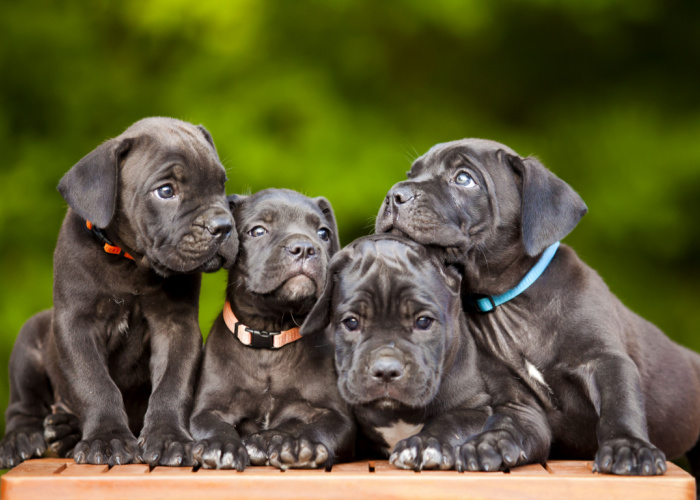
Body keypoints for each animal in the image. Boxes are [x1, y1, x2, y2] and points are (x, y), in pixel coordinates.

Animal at [0, 117, 238, 468]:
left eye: (221, 184)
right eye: (166, 191)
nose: (223, 226)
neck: (130, 263)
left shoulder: (175, 326)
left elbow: (172, 384)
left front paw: (168, 438)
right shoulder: (77, 325)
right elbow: (95, 384)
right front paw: (107, 438)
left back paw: (66, 431)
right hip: (29, 339)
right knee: (22, 405)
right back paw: (23, 438)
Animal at [190, 189, 356, 470]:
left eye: (323, 233)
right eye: (258, 231)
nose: (305, 248)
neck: (269, 335)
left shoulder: (336, 416)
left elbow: (311, 426)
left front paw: (297, 444)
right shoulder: (207, 410)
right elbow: (215, 426)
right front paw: (222, 446)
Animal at [300, 234, 552, 472]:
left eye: (423, 321)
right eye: (351, 323)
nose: (386, 371)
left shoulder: (476, 407)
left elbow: (451, 421)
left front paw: (425, 444)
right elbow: (328, 425)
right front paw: (303, 443)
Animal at [374, 138, 700, 476]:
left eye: (463, 178)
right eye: (411, 174)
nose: (395, 194)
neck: (513, 305)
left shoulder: (606, 360)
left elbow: (620, 405)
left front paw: (629, 447)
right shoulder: (515, 398)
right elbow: (513, 427)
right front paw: (486, 444)